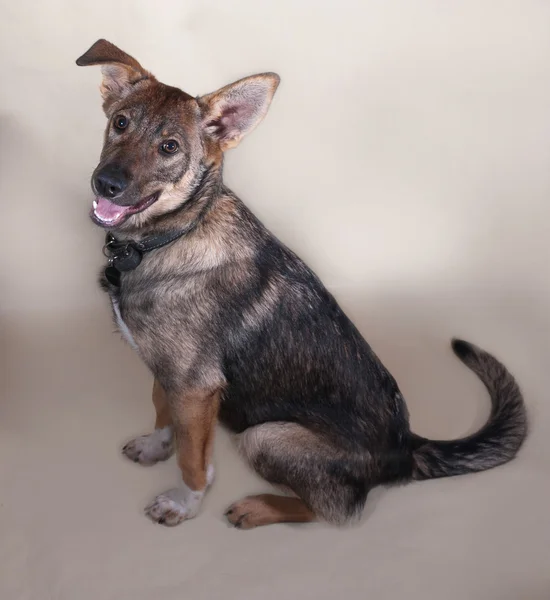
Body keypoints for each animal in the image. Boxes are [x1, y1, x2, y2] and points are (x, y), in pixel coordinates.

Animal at [75, 39, 528, 528]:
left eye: (169, 147)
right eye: (120, 123)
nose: (106, 183)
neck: (171, 236)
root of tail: (407, 450)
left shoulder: (194, 386)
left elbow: (194, 459)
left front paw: (184, 502)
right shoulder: (170, 372)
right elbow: (163, 411)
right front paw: (156, 446)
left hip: (264, 436)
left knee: (335, 510)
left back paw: (256, 507)